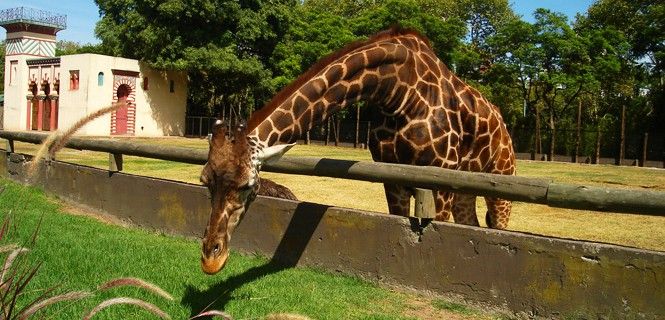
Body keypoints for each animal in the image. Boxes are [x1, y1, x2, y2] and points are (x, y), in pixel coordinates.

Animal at [200, 26, 516, 274]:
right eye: (204, 182)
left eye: (247, 185)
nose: (210, 259)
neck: (397, 91)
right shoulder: (393, 177)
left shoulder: (440, 175)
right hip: (466, 190)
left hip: (500, 182)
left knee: (499, 225)